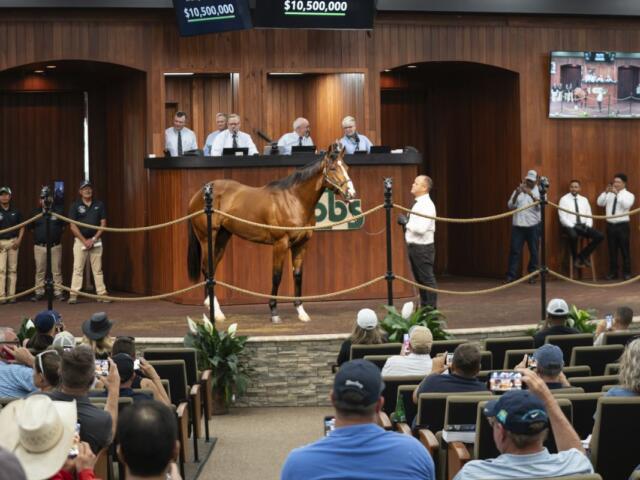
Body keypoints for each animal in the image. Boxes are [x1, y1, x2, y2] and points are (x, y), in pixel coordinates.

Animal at [187, 143, 356, 324]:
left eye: (346, 167)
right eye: (332, 168)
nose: (351, 194)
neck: (294, 200)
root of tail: (200, 194)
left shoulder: (301, 244)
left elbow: (298, 275)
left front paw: (301, 311)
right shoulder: (280, 243)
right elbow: (277, 276)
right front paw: (274, 311)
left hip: (221, 238)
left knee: (210, 270)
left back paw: (213, 308)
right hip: (207, 239)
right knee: (206, 268)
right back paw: (215, 311)